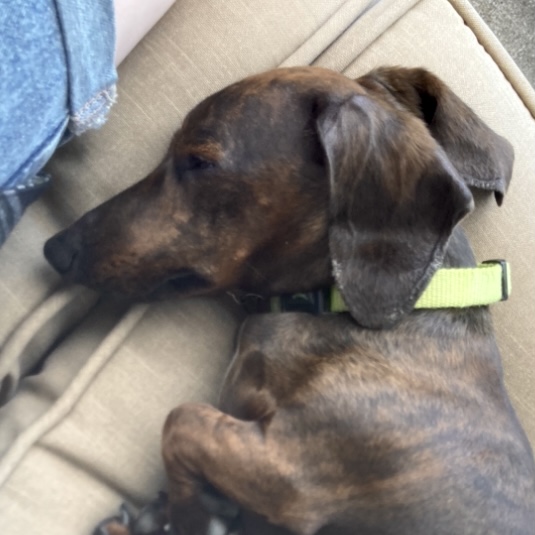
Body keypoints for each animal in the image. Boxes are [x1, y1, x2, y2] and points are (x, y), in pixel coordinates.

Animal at [44, 66, 535, 535]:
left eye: (199, 161)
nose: (55, 249)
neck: (328, 306)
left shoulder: (293, 473)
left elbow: (181, 420)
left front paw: (192, 515)